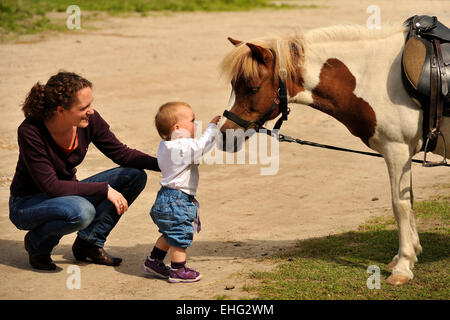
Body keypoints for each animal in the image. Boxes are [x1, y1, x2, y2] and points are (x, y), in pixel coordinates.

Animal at [217, 23, 446, 286]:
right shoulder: (404, 153)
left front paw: (403, 266)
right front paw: (408, 254)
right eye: (234, 86)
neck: (376, 75)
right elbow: (409, 201)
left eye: (252, 88)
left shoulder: (396, 149)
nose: (223, 134)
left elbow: (400, 205)